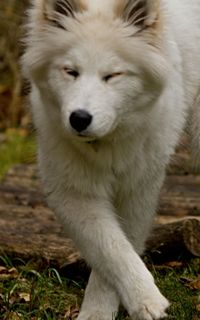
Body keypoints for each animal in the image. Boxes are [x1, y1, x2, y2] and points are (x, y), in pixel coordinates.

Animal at [22, 0, 200, 320]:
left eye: (113, 76)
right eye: (70, 71)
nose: (79, 119)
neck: (106, 144)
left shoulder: (137, 188)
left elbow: (119, 248)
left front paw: (142, 301)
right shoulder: (72, 192)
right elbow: (110, 248)